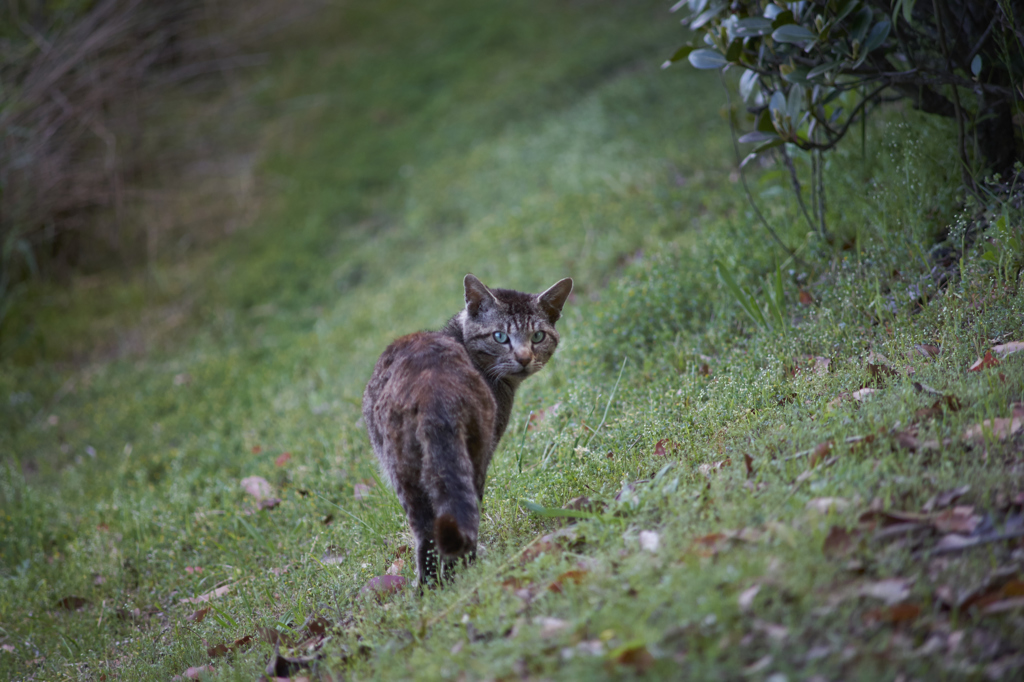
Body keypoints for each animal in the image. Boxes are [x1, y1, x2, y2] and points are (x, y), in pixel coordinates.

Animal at [362, 274, 573, 581]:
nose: (523, 358)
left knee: (429, 531)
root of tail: (432, 390)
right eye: (500, 336)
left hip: (408, 469)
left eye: (537, 336)